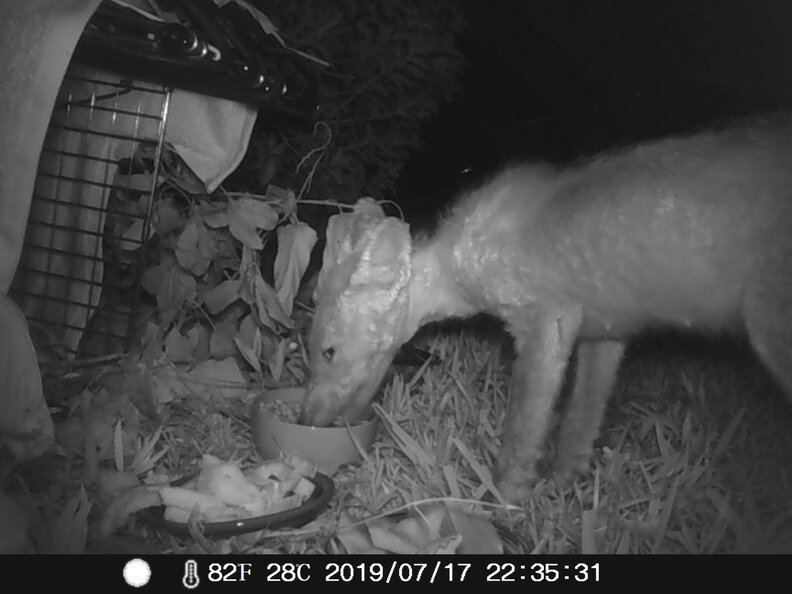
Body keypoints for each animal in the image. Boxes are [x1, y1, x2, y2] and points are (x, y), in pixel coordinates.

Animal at [299, 115, 792, 502]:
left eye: (328, 351)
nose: (305, 419)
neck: (458, 259)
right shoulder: (604, 334)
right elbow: (579, 428)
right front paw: (562, 488)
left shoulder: (546, 320)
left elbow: (523, 432)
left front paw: (503, 503)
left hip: (770, 332)